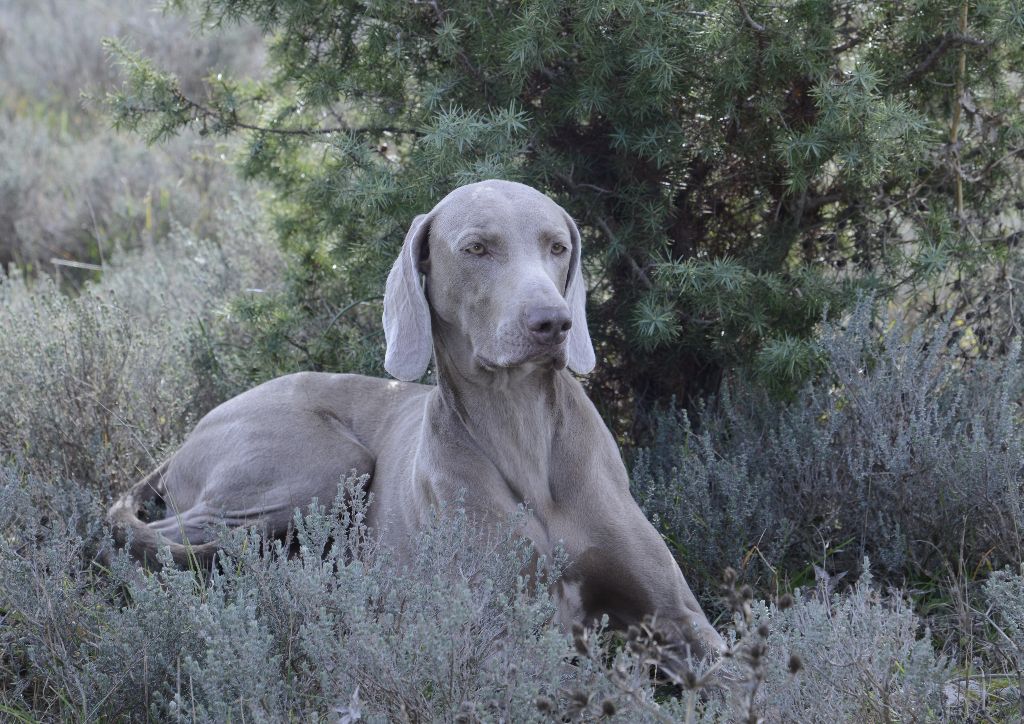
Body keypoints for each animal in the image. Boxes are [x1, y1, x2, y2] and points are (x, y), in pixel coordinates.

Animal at [108, 178, 724, 659]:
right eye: (476, 247)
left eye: (557, 246)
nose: (553, 322)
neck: (520, 423)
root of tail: (193, 431)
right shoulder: (500, 639)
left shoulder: (683, 622)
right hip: (326, 465)